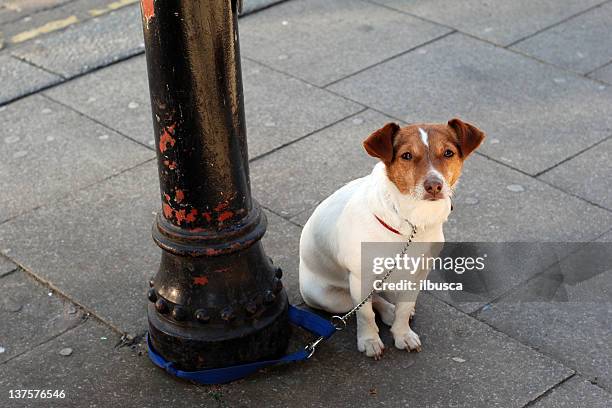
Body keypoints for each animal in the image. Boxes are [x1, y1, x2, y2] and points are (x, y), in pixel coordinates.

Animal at [298, 118, 486, 356]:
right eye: (406, 155)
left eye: (448, 153)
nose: (434, 185)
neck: (412, 224)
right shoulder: (360, 277)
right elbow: (365, 314)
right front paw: (369, 340)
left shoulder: (419, 273)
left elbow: (404, 307)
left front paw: (402, 333)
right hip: (330, 297)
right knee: (365, 302)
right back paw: (386, 310)